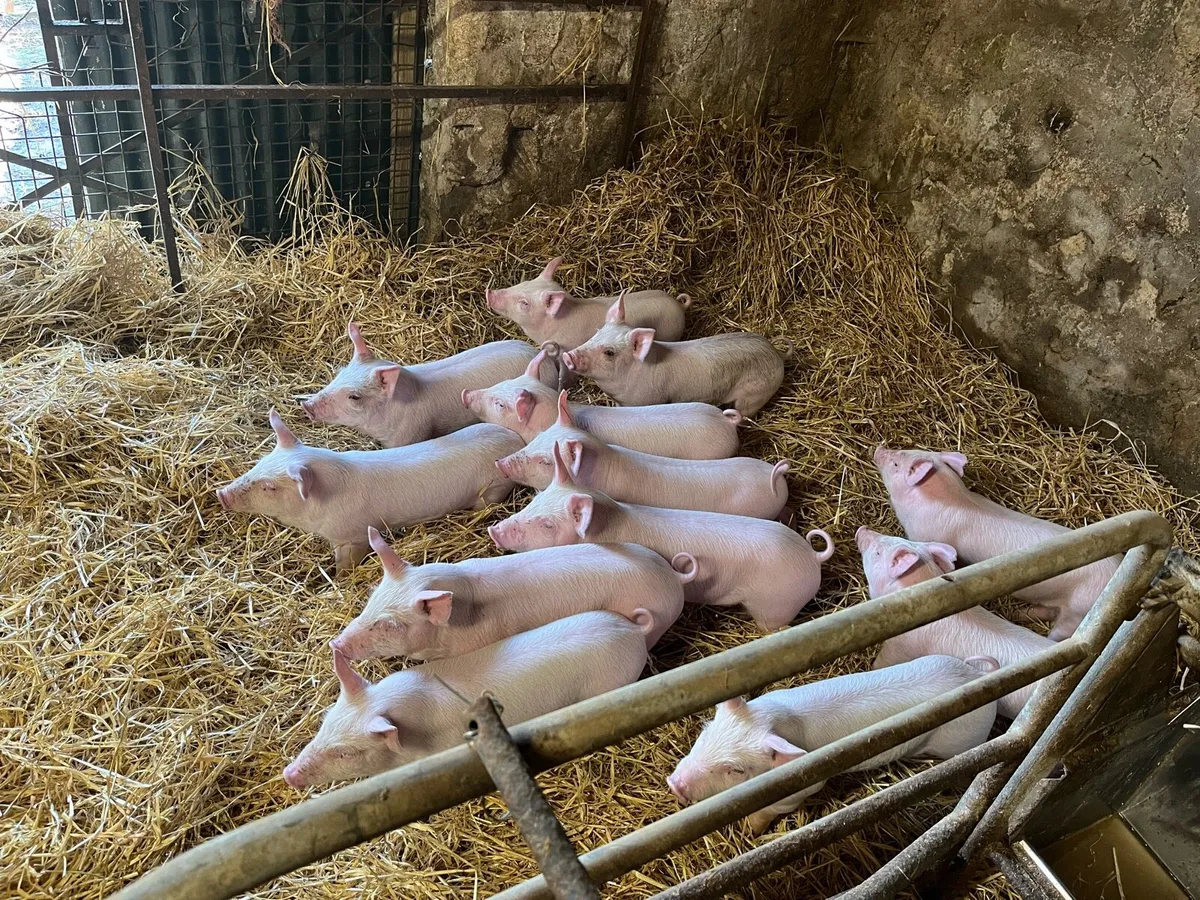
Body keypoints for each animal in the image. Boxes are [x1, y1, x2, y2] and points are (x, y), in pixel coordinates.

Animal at [215, 410, 521, 573]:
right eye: (259, 462)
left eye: (270, 486)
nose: (221, 494)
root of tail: (515, 439)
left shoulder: (353, 536)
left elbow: (347, 562)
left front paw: (338, 578)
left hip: (493, 489)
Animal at [561, 295, 786, 416]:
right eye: (597, 332)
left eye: (609, 352)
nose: (567, 356)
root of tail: (777, 354)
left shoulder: (647, 400)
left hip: (755, 395)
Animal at [666, 655, 999, 833]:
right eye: (704, 733)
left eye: (735, 769)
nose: (674, 784)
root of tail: (977, 674)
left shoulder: (802, 789)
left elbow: (770, 811)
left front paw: (751, 831)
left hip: (960, 741)